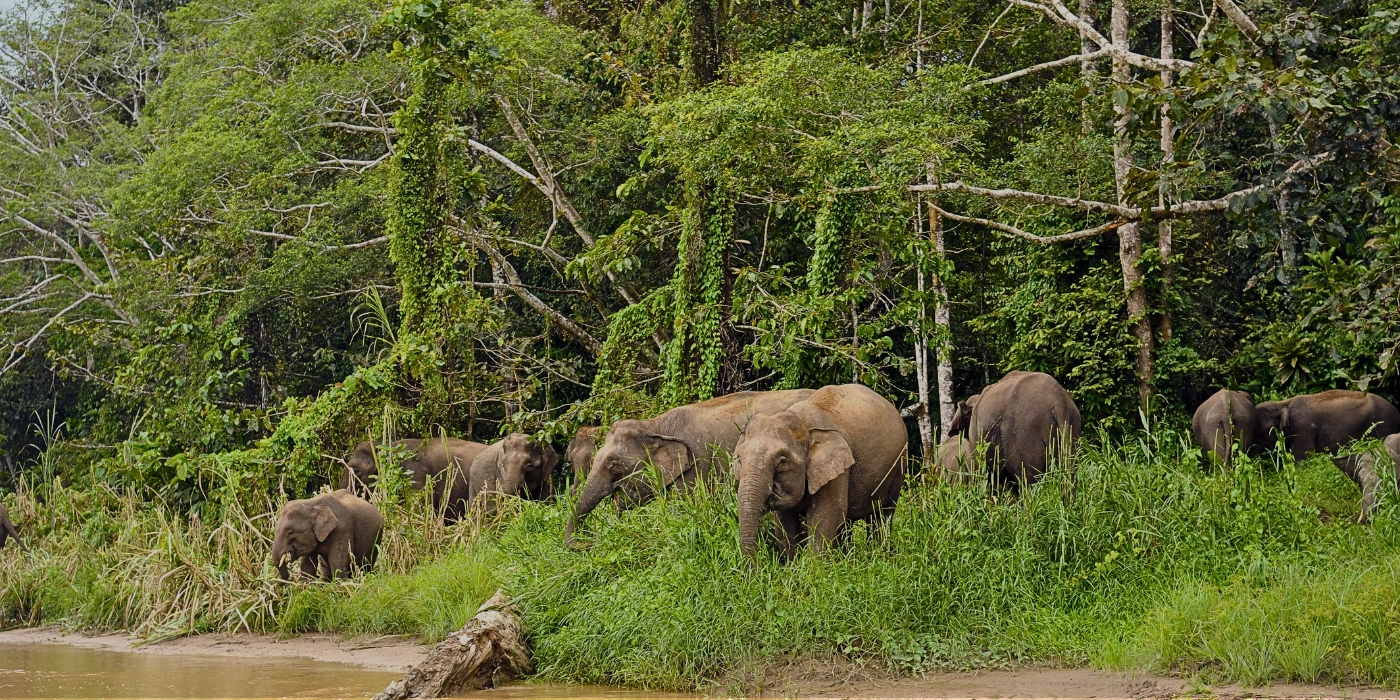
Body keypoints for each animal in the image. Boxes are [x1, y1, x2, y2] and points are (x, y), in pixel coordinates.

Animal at [734, 384, 906, 559]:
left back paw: (879, 555)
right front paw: (792, 564)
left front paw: (813, 565)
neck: (803, 423)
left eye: (782, 462)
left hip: (898, 466)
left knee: (882, 515)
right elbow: (785, 523)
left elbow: (825, 517)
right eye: (739, 459)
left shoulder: (837, 471)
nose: (756, 565)